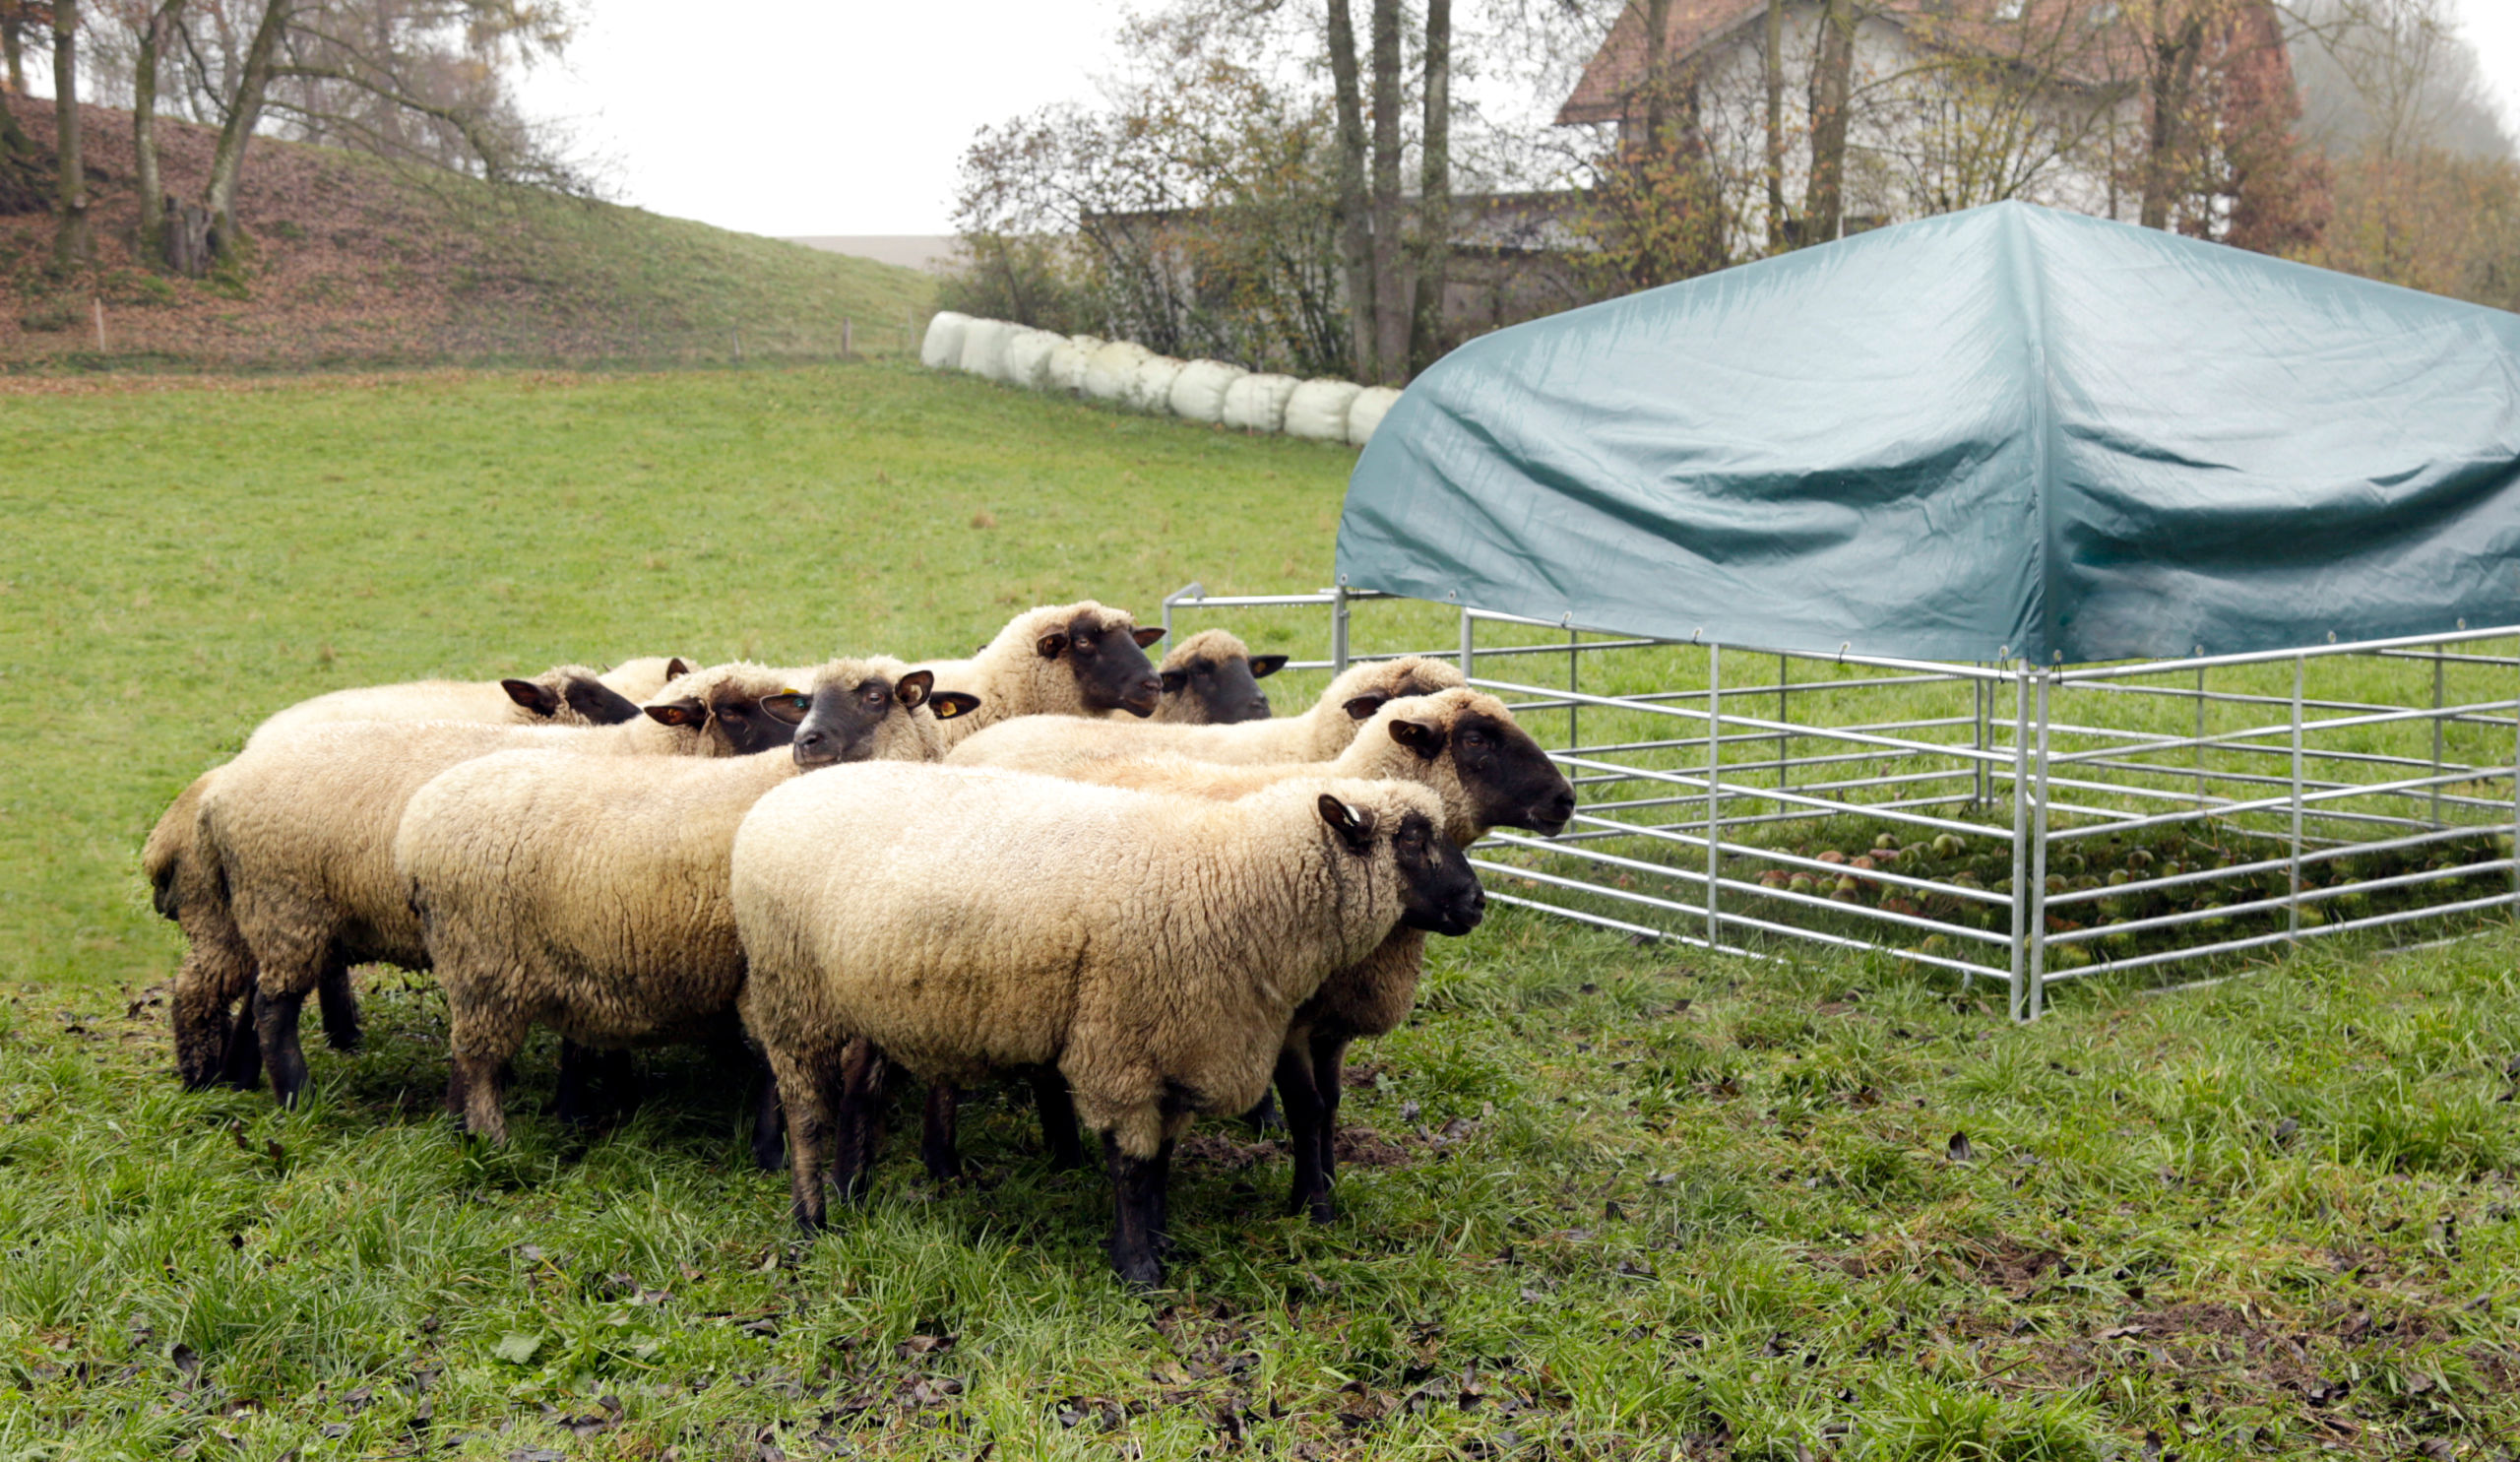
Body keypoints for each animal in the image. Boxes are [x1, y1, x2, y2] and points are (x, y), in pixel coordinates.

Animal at [191, 661, 804, 1107]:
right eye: (732, 711)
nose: (807, 742)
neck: (636, 750)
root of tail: (225, 785)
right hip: (289, 904)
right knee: (273, 1004)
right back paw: (294, 1094)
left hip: (277, 913)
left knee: (255, 993)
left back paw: (239, 1078)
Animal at [399, 658, 978, 1145]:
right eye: (803, 702)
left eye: (876, 697)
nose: (806, 742)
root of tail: (418, 820)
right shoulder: (767, 968)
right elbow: (779, 1069)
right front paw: (773, 1148)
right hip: (483, 962)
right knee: (478, 1061)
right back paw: (492, 1141)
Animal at [730, 765, 1486, 1284]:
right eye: (1412, 837)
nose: (1477, 903)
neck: (1229, 879)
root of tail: (776, 799)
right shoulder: (1122, 1049)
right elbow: (1130, 1165)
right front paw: (1138, 1267)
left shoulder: (1180, 1048)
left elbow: (1162, 1160)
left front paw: (1162, 1240)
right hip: (791, 993)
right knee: (806, 1111)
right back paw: (811, 1221)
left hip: (865, 999)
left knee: (860, 1086)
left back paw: (852, 1191)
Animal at [924, 689, 1574, 1216]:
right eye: (1476, 739)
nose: (1566, 800)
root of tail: (990, 734)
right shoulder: (1280, 1015)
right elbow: (1307, 1107)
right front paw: (1311, 1205)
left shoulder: (1330, 1022)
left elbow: (1332, 1103)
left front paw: (1328, 1184)